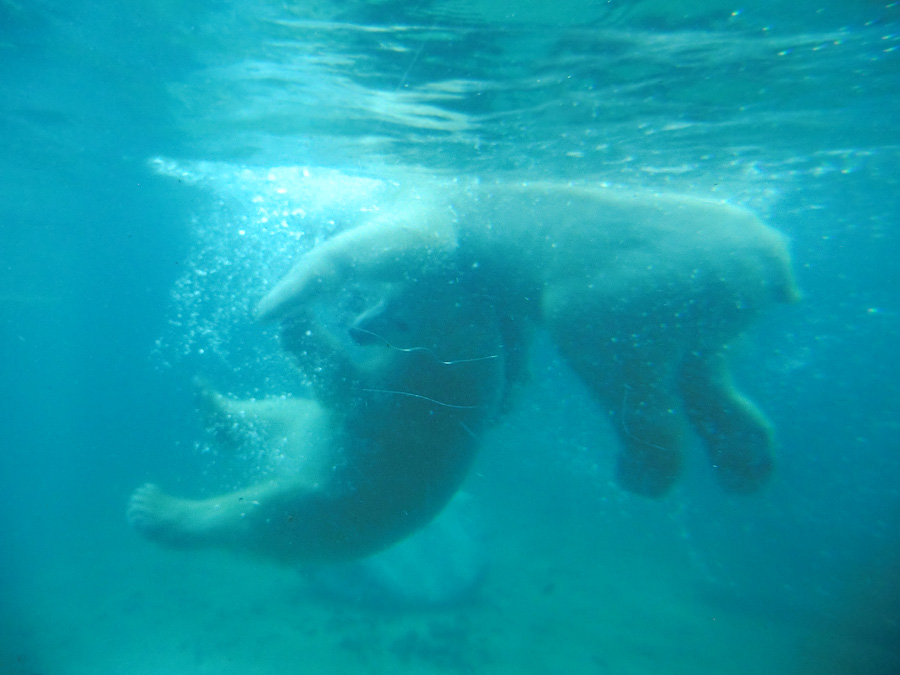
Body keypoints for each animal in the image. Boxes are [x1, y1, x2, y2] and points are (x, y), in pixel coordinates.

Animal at [130, 178, 800, 564]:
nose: (360, 327)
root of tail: (769, 251)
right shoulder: (482, 291)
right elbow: (508, 336)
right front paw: (506, 397)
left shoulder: (430, 212)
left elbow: (408, 242)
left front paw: (281, 298)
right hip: (705, 300)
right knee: (705, 371)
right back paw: (748, 459)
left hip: (639, 276)